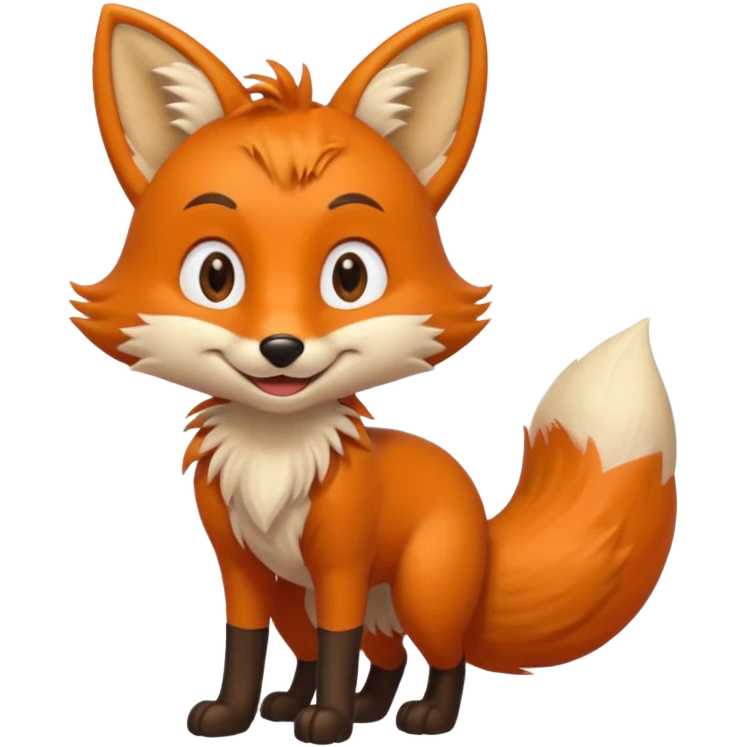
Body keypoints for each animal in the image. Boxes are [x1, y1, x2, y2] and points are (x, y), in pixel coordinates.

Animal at [75, 2, 679, 744]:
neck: (274, 455)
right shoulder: (243, 568)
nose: (281, 347)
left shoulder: (340, 564)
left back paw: (422, 714)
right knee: (369, 654)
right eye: (215, 275)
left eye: (350, 276)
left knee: (443, 654)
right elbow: (245, 645)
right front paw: (236, 713)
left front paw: (329, 721)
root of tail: (481, 523)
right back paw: (335, 705)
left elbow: (338, 641)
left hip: (418, 591)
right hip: (308, 598)